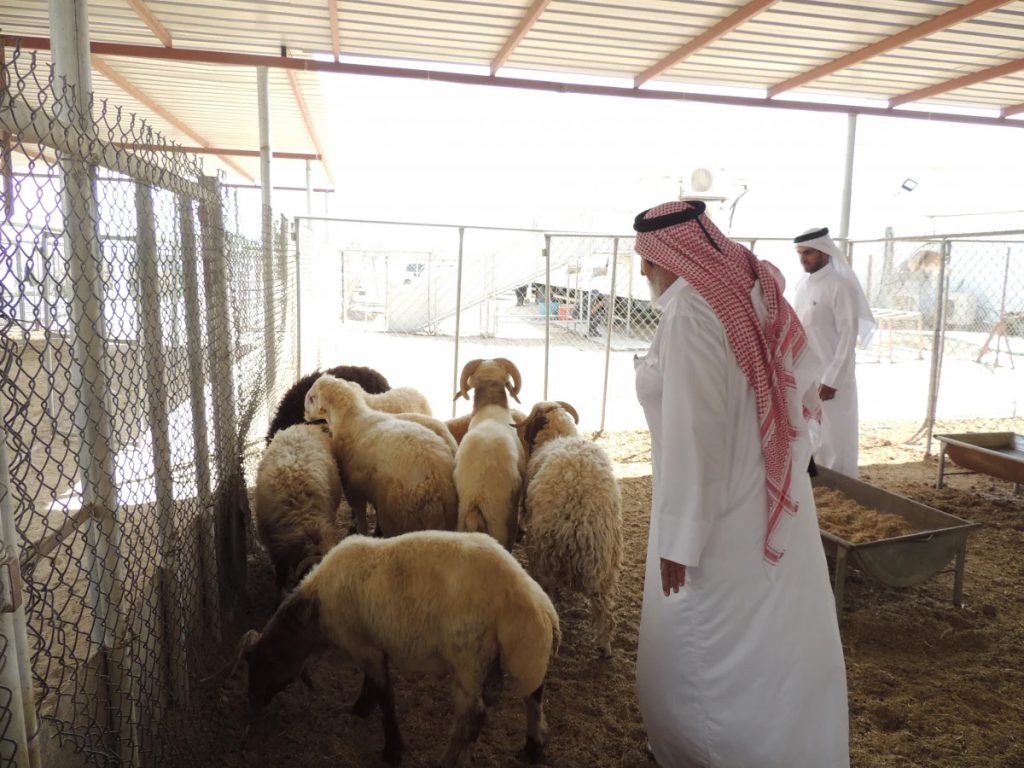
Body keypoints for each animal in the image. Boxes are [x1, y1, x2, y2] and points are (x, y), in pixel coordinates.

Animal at [211, 531, 560, 767]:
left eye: (260, 664)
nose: (252, 704)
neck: (316, 614)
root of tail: (535, 604)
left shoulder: (364, 646)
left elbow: (385, 696)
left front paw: (392, 749)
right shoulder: (372, 645)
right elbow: (372, 685)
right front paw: (361, 708)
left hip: (470, 659)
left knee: (472, 716)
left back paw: (448, 760)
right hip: (524, 654)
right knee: (534, 695)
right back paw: (534, 746)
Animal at [304, 374, 457, 537]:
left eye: (311, 398)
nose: (304, 414)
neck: (350, 420)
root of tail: (436, 481)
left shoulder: (353, 490)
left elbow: (361, 519)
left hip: (399, 514)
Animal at [518, 401, 623, 658]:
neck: (559, 435)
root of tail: (578, 522)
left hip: (544, 561)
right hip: (605, 569)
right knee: (606, 613)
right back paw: (604, 649)